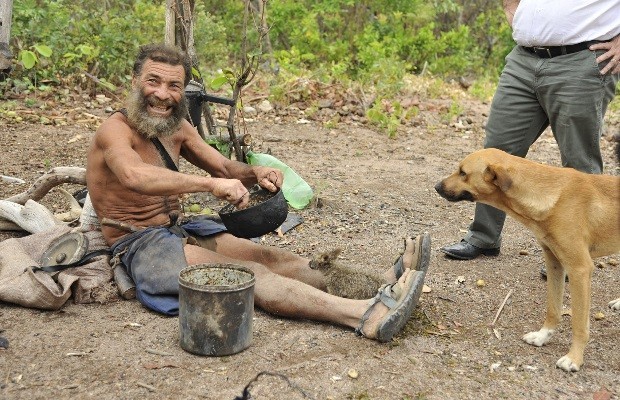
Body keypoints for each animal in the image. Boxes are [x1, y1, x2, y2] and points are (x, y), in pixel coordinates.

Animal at [436, 148, 620, 374]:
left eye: (463, 173)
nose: (437, 186)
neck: (551, 195)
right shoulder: (554, 263)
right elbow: (553, 309)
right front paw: (542, 336)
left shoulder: (579, 269)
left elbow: (579, 324)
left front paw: (574, 358)